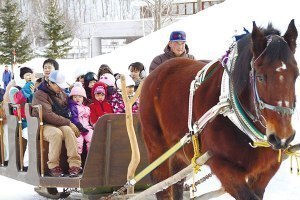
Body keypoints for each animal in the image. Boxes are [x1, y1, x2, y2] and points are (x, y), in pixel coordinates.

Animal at [139, 20, 298, 200]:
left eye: (296, 75)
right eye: (260, 77)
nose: (282, 137)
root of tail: (154, 75)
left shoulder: (267, 168)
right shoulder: (221, 164)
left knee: (177, 182)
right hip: (156, 146)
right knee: (162, 184)